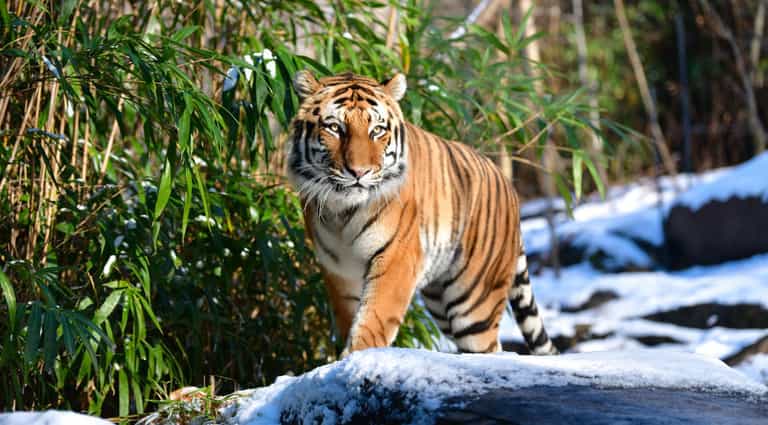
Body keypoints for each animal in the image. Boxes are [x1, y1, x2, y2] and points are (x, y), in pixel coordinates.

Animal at [287, 71, 558, 356]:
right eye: (335, 128)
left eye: (377, 130)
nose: (359, 172)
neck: (341, 212)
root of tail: (507, 184)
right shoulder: (339, 269)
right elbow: (351, 317)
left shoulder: (396, 256)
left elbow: (373, 318)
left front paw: (357, 355)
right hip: (441, 301)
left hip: (474, 304)